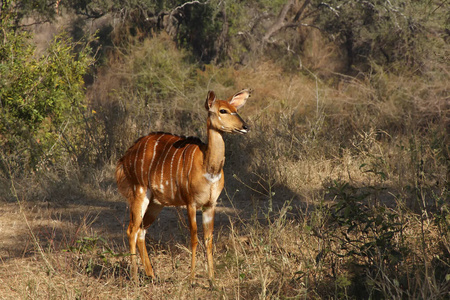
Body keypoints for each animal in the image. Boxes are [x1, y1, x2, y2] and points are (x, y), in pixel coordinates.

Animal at [115, 88, 250, 282]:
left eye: (236, 109)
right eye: (223, 110)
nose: (245, 126)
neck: (208, 167)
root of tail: (125, 157)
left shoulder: (210, 204)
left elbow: (208, 239)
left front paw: (212, 279)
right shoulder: (190, 203)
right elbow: (194, 237)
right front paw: (192, 279)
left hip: (156, 203)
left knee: (141, 231)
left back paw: (152, 275)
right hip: (139, 191)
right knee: (131, 230)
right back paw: (134, 277)